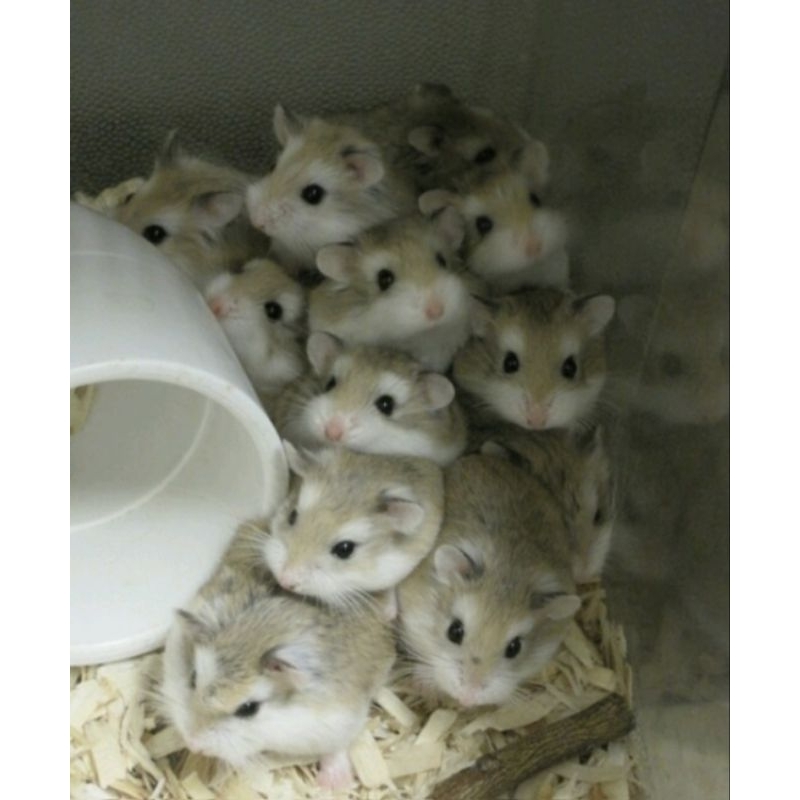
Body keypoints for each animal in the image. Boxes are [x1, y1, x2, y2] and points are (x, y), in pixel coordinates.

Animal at [396, 453, 580, 708]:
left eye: (514, 648)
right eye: (454, 632)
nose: (467, 698)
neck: (508, 572)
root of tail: (488, 457)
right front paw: (424, 687)